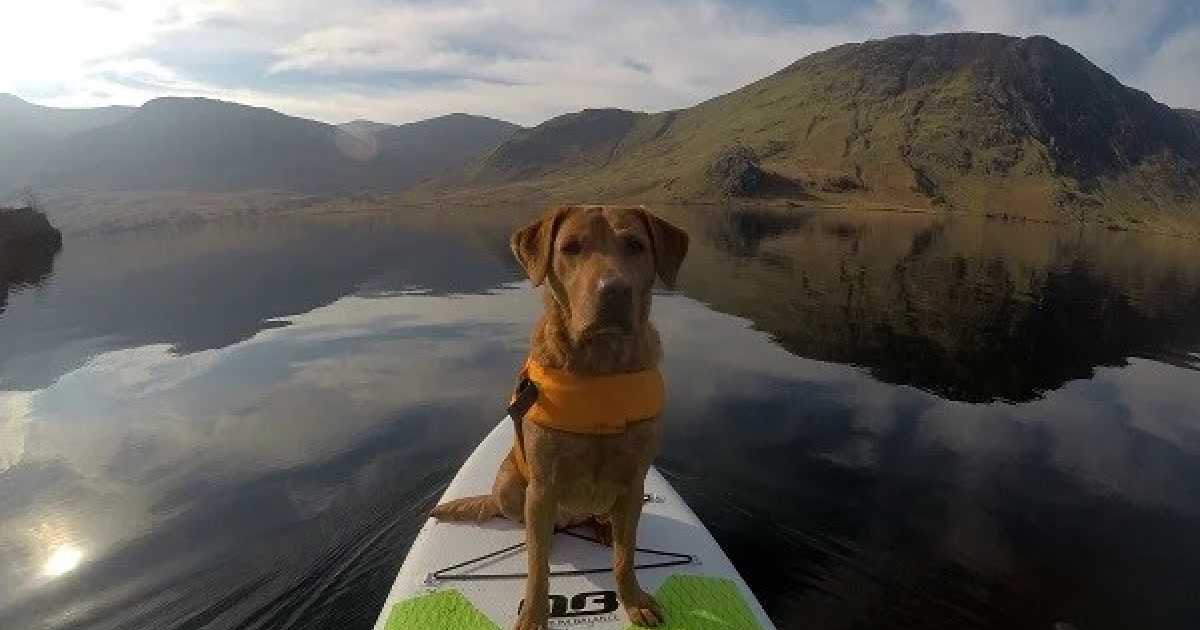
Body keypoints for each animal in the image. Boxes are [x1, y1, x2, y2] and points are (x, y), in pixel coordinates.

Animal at [436, 204, 691, 624]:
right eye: (571, 247)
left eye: (634, 245)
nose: (613, 290)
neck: (600, 365)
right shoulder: (542, 488)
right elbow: (538, 571)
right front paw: (533, 617)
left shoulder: (634, 481)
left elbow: (625, 558)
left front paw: (633, 600)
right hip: (510, 487)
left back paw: (603, 528)